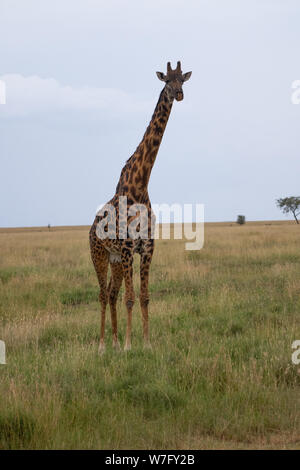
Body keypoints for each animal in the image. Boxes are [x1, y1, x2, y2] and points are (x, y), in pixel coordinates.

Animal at [89, 60, 192, 352]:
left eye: (182, 79)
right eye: (166, 81)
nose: (179, 94)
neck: (140, 183)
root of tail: (89, 228)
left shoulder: (146, 247)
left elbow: (144, 296)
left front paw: (145, 344)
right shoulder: (127, 248)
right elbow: (130, 298)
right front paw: (128, 345)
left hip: (113, 259)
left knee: (111, 293)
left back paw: (112, 343)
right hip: (99, 255)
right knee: (103, 295)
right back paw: (103, 346)